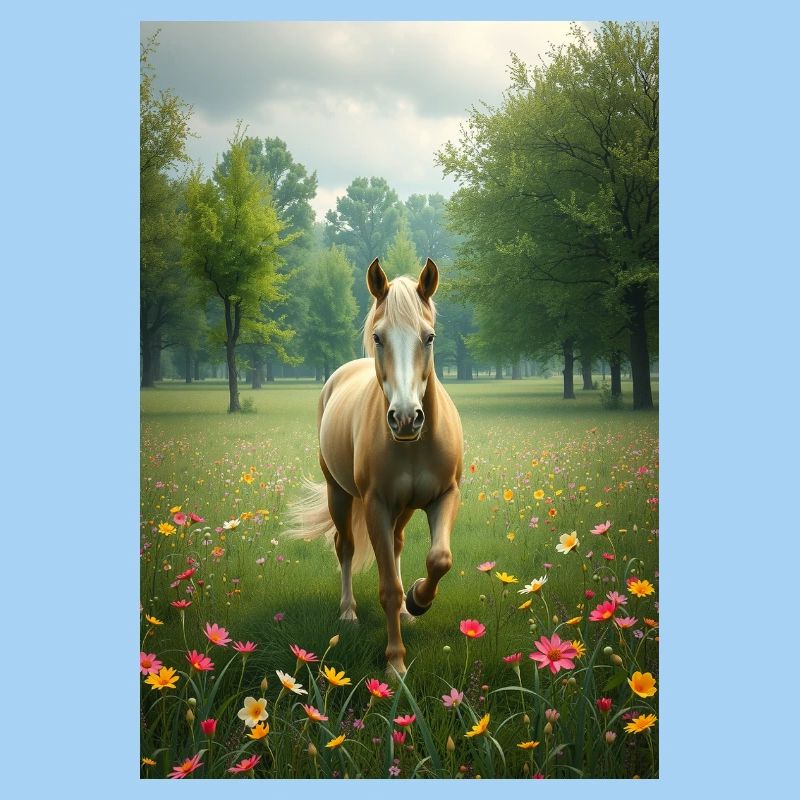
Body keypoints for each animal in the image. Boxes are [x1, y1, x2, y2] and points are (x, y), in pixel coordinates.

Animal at [288, 258, 463, 676]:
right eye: (379, 337)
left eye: (429, 337)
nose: (405, 418)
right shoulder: (375, 506)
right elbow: (387, 588)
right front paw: (396, 664)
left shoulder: (445, 496)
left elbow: (439, 559)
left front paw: (417, 600)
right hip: (339, 494)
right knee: (345, 547)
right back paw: (348, 613)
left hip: (403, 508)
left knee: (397, 546)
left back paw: (407, 611)